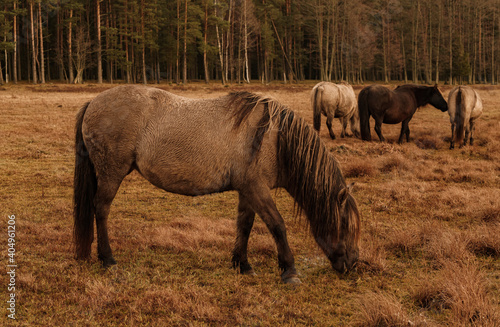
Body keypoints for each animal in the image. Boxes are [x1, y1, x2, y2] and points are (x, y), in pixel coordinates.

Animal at [73, 86, 360, 286]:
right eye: (345, 224)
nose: (353, 264)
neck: (274, 139)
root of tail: (92, 103)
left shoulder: (247, 191)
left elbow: (245, 225)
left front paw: (242, 264)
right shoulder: (257, 189)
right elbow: (277, 225)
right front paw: (289, 271)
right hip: (112, 173)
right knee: (101, 209)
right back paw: (108, 259)